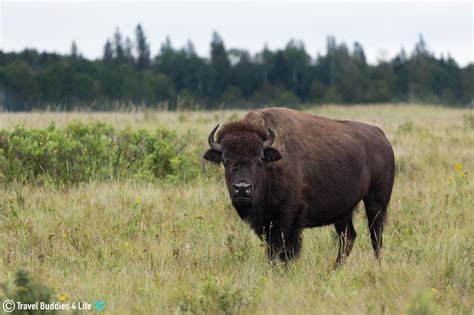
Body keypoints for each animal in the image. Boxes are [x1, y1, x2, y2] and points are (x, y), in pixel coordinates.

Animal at [202, 108, 394, 266]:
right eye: (225, 158)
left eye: (260, 157)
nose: (242, 188)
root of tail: (382, 138)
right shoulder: (265, 222)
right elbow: (272, 250)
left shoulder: (287, 217)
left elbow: (283, 249)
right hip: (344, 211)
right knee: (348, 237)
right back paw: (335, 269)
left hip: (375, 202)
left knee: (375, 234)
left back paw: (376, 265)